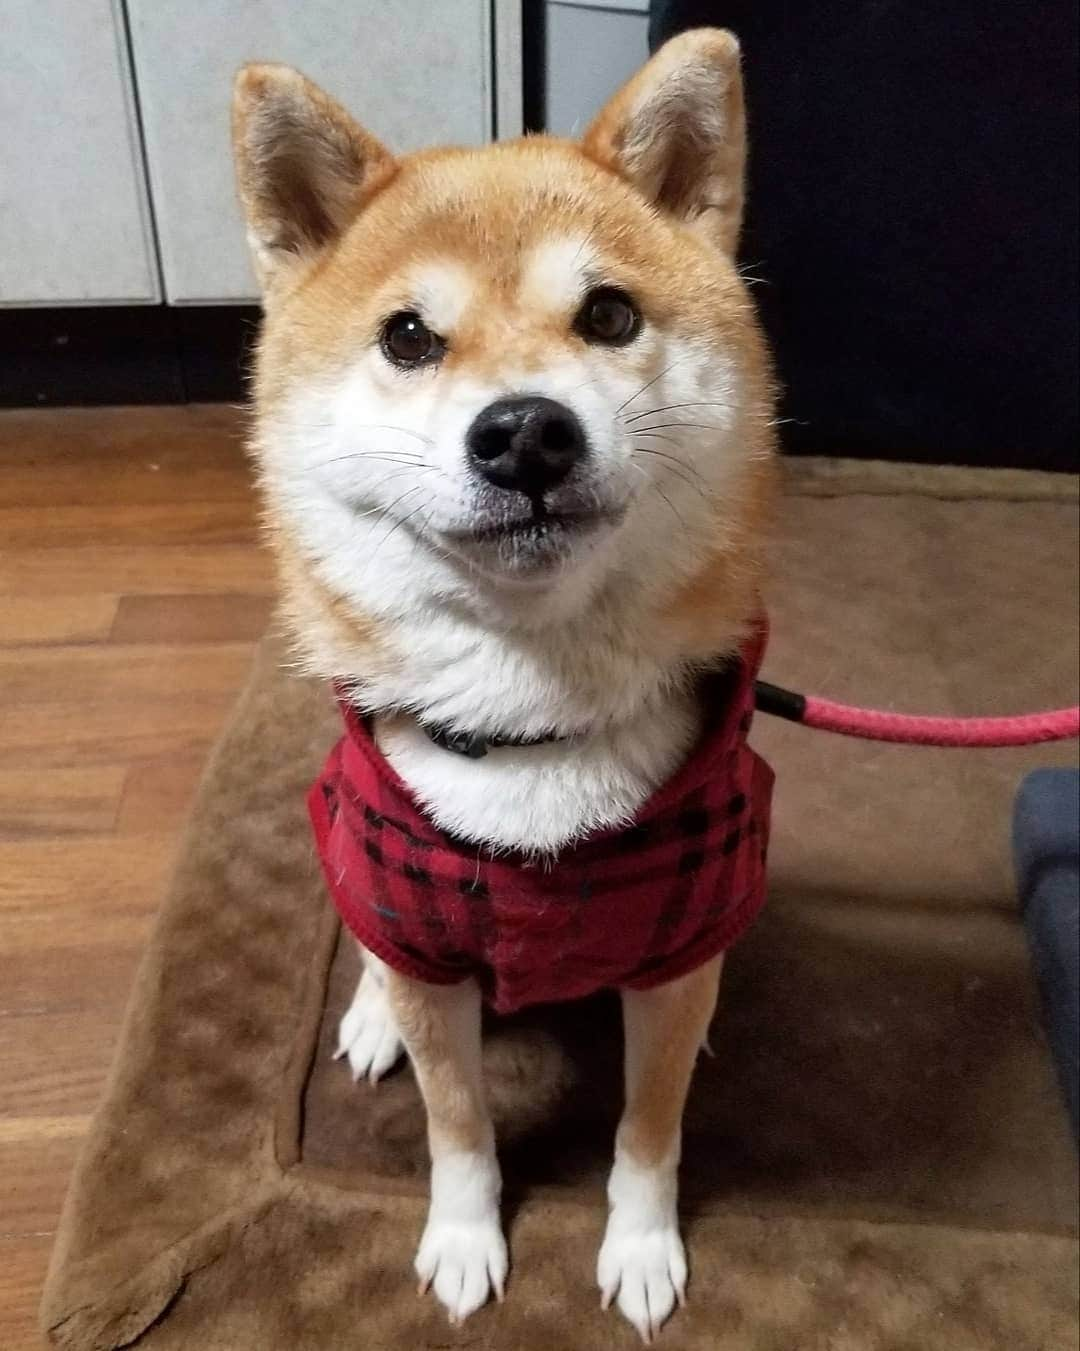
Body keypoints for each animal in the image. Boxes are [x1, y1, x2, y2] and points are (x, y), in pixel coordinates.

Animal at [233, 31, 778, 1340]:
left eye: (611, 313)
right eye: (408, 337)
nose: (525, 431)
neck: (530, 726)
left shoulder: (680, 941)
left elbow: (650, 1125)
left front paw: (642, 1245)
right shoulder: (427, 950)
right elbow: (458, 1122)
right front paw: (466, 1236)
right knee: (374, 952)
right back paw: (369, 1014)